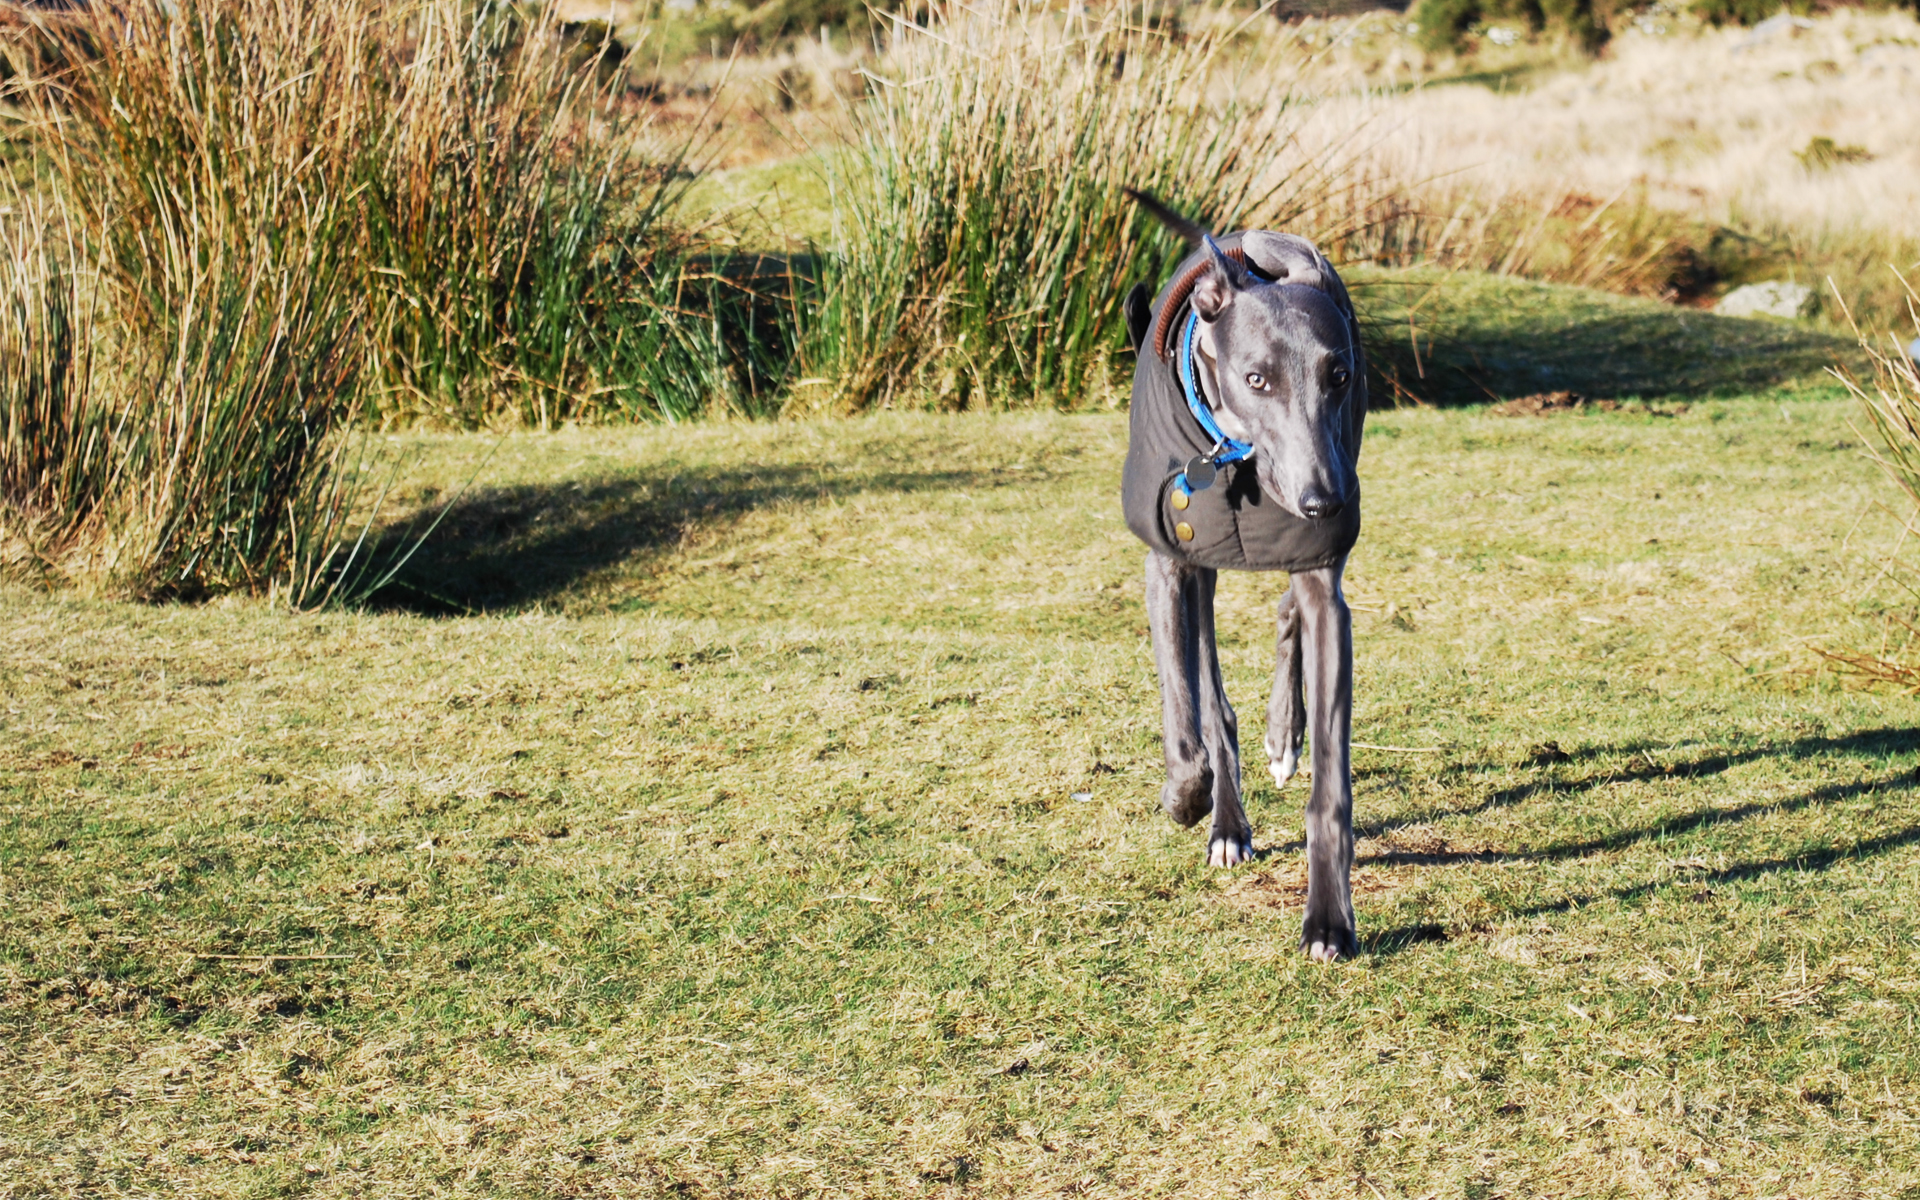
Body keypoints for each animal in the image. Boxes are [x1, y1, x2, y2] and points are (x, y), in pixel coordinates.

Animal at [1121, 196, 1374, 963]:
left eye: (1339, 376)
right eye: (1257, 379)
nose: (1325, 501)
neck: (1232, 455)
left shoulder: (1325, 581)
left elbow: (1331, 785)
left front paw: (1329, 919)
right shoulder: (1170, 563)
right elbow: (1187, 713)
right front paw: (1187, 798)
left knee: (1288, 613)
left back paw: (1282, 737)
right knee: (1209, 697)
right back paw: (1223, 819)